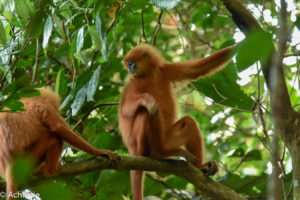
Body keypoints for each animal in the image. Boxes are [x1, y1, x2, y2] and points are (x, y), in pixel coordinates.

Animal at [119, 44, 234, 199]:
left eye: (132, 63)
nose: (130, 69)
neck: (148, 74)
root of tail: (132, 151)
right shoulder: (134, 83)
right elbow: (126, 109)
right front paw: (147, 99)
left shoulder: (166, 70)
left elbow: (196, 70)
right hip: (138, 145)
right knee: (146, 111)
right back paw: (157, 154)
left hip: (167, 139)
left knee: (189, 122)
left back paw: (201, 168)